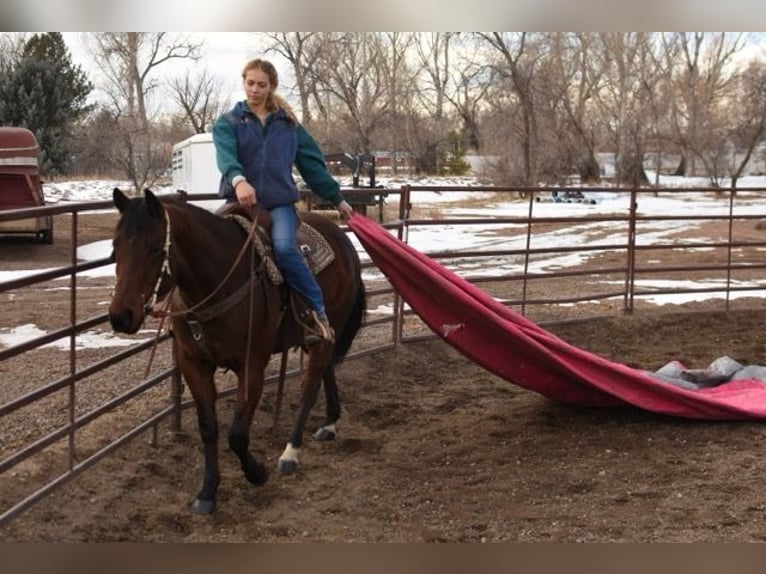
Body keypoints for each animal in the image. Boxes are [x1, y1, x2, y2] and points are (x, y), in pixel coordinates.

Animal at [109, 190, 368, 516]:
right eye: (115, 247)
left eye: (156, 248)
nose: (120, 316)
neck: (216, 283)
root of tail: (342, 239)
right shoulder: (193, 364)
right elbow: (208, 428)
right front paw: (207, 492)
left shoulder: (252, 365)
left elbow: (237, 434)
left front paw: (257, 473)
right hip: (321, 338)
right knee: (327, 370)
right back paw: (329, 423)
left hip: (328, 326)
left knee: (311, 385)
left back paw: (291, 452)